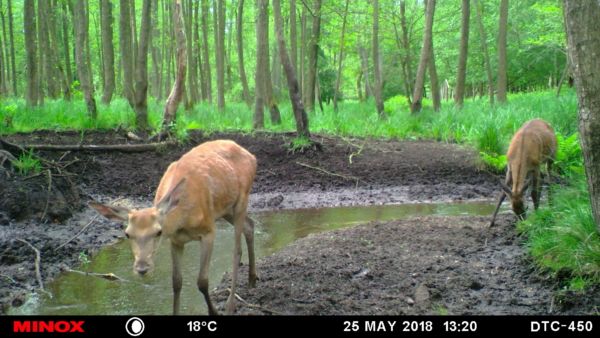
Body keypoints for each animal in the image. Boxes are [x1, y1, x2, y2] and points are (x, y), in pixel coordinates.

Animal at [90, 139, 256, 314]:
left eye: (158, 232)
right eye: (127, 234)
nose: (142, 268)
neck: (183, 221)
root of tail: (251, 156)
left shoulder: (209, 230)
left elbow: (202, 281)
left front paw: (214, 312)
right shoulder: (175, 240)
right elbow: (176, 282)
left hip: (242, 199)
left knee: (237, 250)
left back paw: (231, 304)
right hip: (225, 210)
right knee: (250, 225)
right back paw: (252, 279)